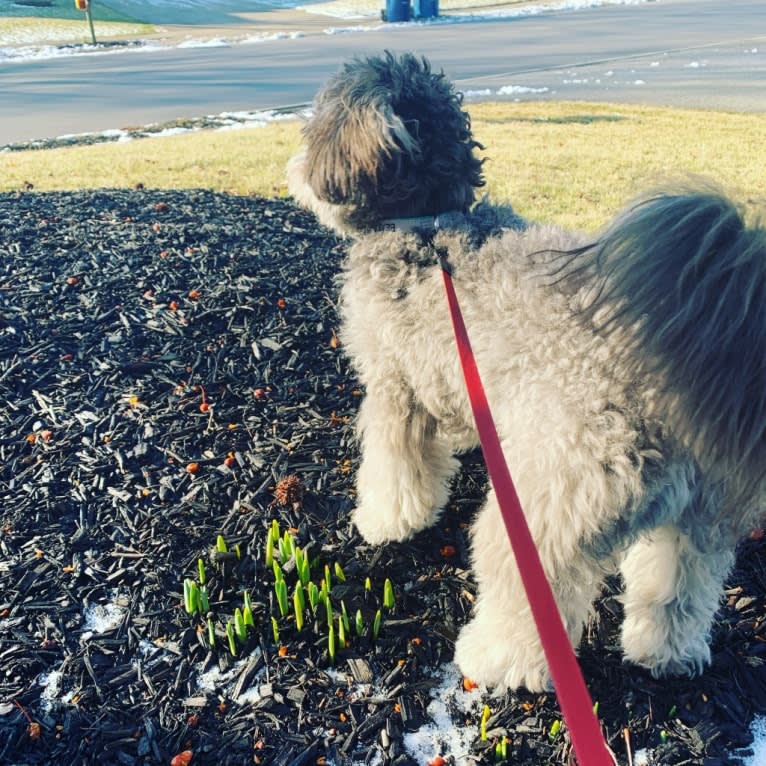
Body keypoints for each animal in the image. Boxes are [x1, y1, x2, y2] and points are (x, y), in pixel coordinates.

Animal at [288, 51, 766, 692]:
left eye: (315, 126)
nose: (294, 167)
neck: (427, 221)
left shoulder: (395, 386)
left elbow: (396, 470)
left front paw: (387, 521)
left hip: (546, 505)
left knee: (528, 599)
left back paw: (494, 660)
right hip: (698, 516)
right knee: (678, 585)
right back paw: (666, 654)